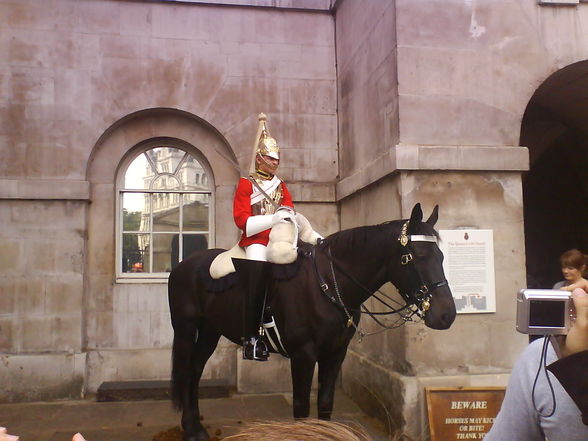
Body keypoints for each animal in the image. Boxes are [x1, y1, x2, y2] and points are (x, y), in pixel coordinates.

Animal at [168, 204, 458, 440]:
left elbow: (326, 403)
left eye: (442, 256)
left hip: (210, 331)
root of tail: (184, 264)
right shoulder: (303, 355)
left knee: (194, 371)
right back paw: (190, 429)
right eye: (417, 256)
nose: (447, 314)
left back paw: (195, 428)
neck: (328, 285)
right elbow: (301, 408)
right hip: (185, 329)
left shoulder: (335, 353)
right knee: (186, 371)